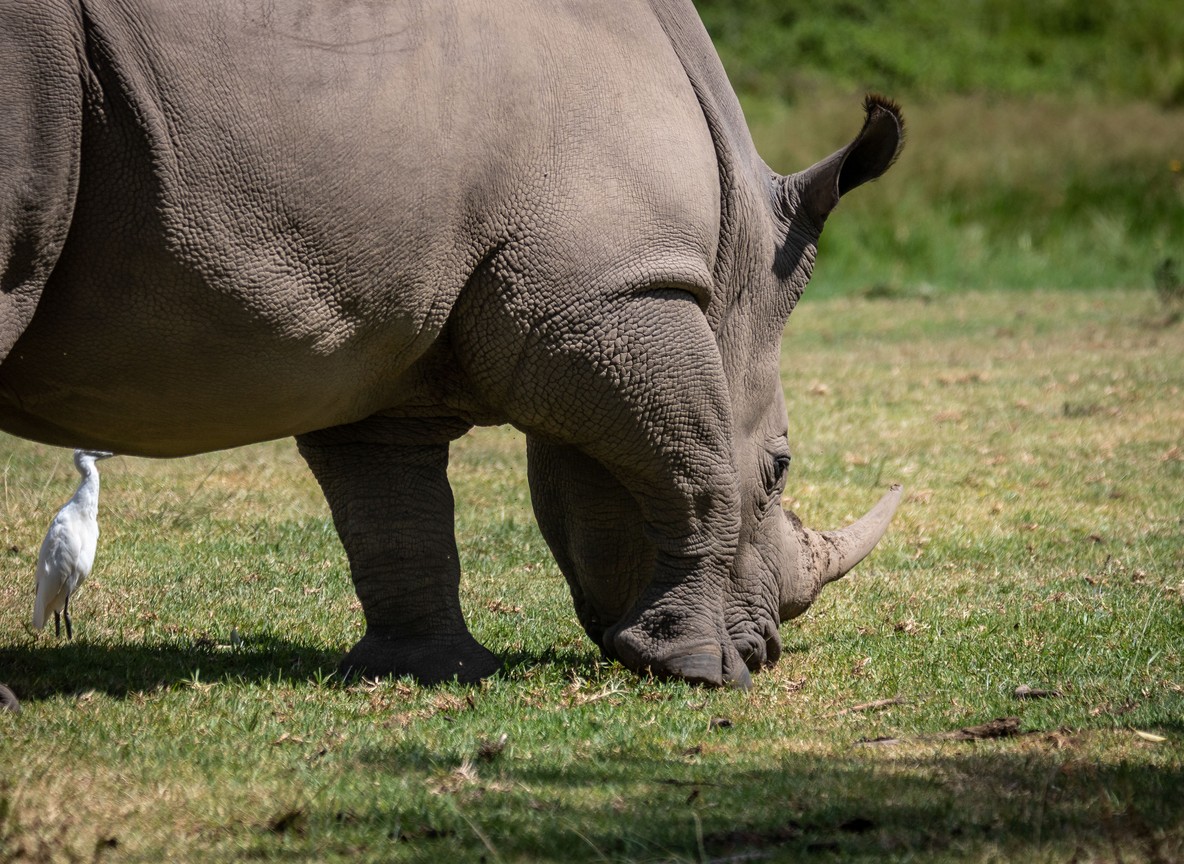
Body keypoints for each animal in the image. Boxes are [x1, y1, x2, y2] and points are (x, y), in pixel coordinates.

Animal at [0, 0, 903, 689]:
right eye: (778, 469)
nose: (768, 648)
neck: (728, 250)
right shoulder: (615, 287)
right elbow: (698, 463)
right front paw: (701, 672)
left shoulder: (377, 314)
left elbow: (393, 503)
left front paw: (427, 672)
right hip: (38, 65)